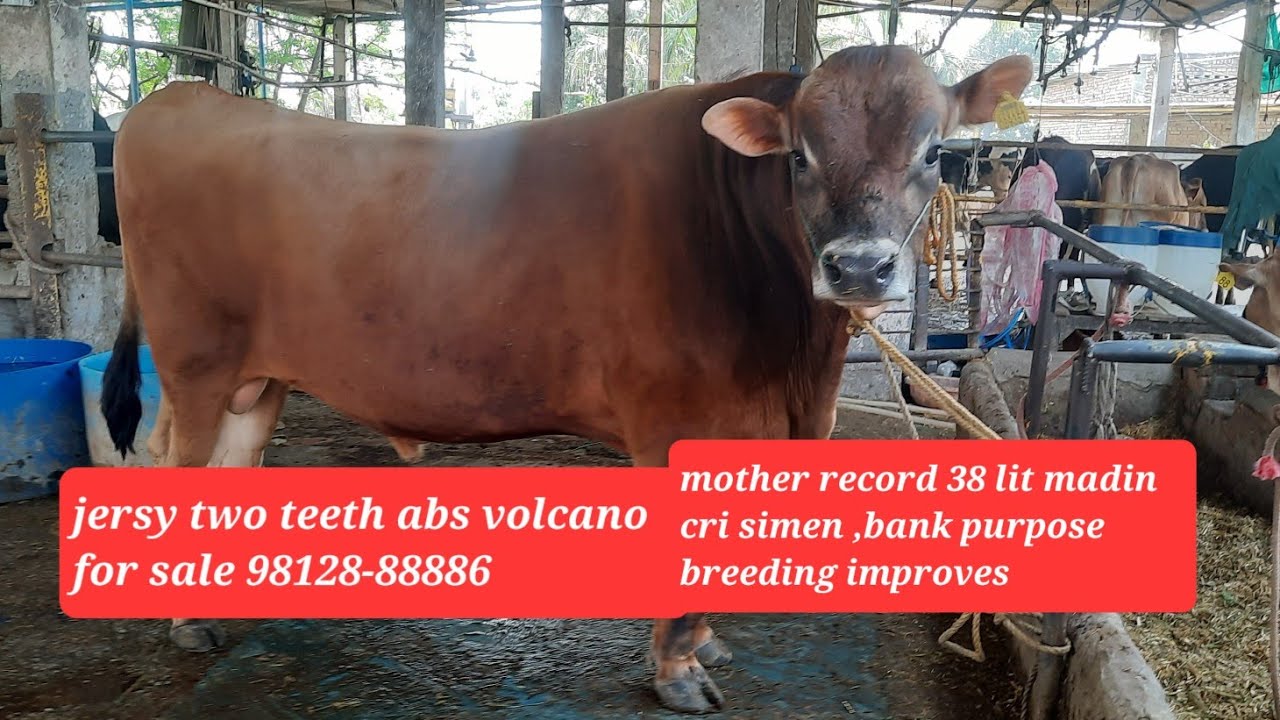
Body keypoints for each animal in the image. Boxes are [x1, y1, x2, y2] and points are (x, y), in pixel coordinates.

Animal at [100, 47, 1033, 714]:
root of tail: (184, 96)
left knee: (228, 467)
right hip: (197, 361)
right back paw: (188, 622)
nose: (861, 268)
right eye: (799, 156)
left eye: (935, 150)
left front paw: (706, 643)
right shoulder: (677, 420)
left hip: (258, 379)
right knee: (176, 464)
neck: (798, 367)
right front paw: (679, 672)